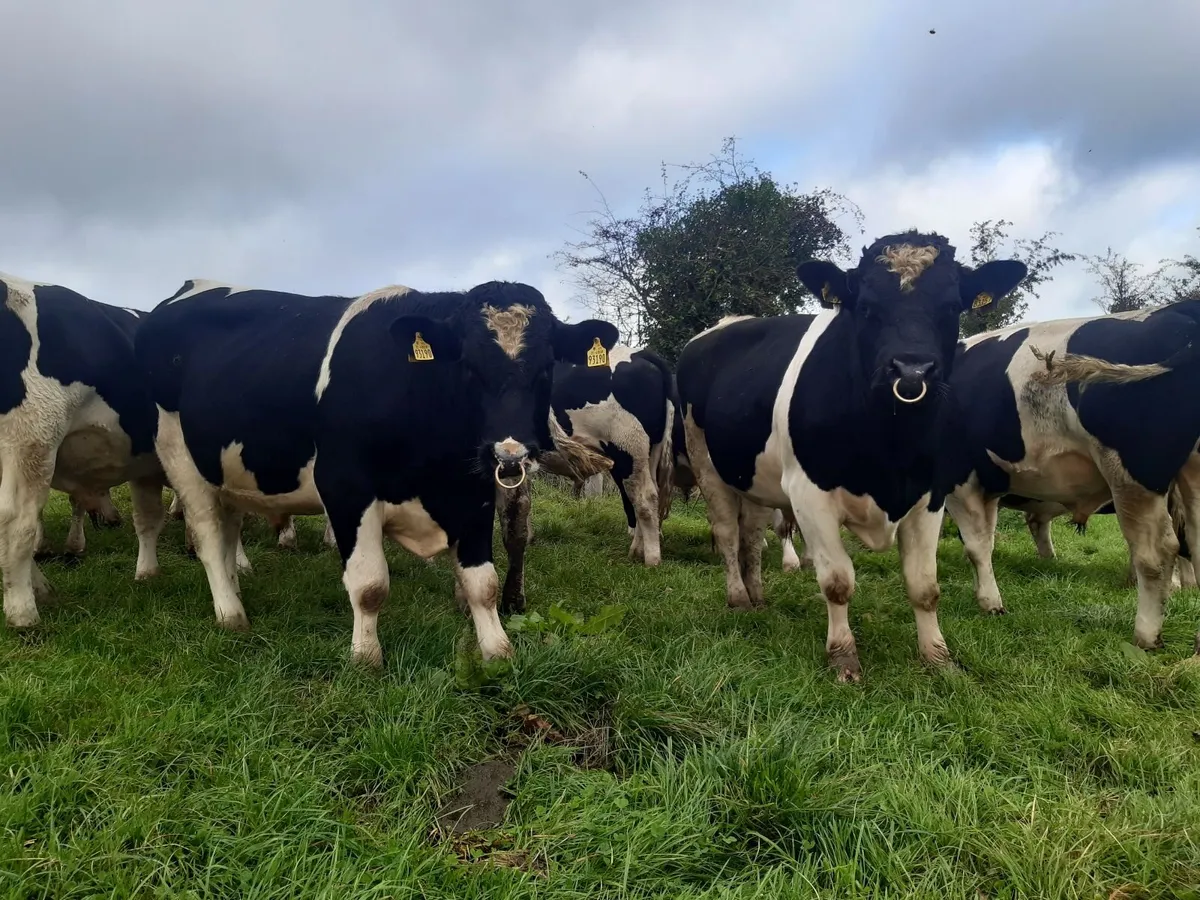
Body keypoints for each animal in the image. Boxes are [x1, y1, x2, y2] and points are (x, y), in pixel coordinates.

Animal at [134, 278, 616, 666]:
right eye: (467, 365)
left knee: (229, 530)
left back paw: (236, 591)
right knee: (208, 535)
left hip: (227, 471)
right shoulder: (347, 489)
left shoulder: (474, 493)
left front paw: (497, 651)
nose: (512, 450)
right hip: (180, 457)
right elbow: (369, 585)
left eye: (546, 368)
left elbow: (483, 584)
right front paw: (366, 657)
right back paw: (231, 614)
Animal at [536, 344, 676, 565]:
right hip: (650, 452)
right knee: (649, 492)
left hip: (627, 447)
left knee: (645, 497)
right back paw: (638, 549)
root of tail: (640, 354)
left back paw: (651, 560)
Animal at [674, 231, 1028, 680]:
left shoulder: (930, 495)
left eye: (952, 307)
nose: (911, 371)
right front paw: (843, 656)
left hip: (752, 477)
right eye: (866, 307)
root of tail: (727, 323)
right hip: (707, 462)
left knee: (751, 535)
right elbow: (838, 581)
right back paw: (738, 598)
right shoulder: (809, 496)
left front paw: (938, 657)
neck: (891, 448)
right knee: (725, 532)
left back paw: (757, 597)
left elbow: (925, 586)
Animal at [940, 300, 1200, 654]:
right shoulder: (988, 483)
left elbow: (976, 546)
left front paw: (990, 603)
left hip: (1133, 473)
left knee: (1157, 552)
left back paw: (1145, 636)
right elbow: (984, 541)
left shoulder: (958, 478)